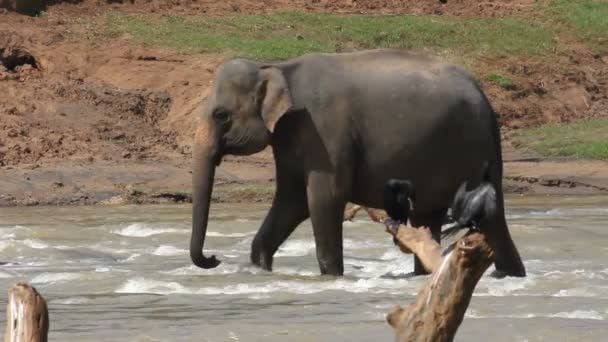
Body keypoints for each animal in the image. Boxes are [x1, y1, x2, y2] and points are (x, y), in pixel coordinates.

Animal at [191, 48, 528, 278]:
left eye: (221, 115)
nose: (213, 258)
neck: (277, 67)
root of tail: (485, 99)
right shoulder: (289, 138)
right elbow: (291, 199)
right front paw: (261, 268)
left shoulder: (324, 131)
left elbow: (323, 198)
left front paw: (331, 277)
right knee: (430, 219)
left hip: (471, 150)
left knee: (488, 219)